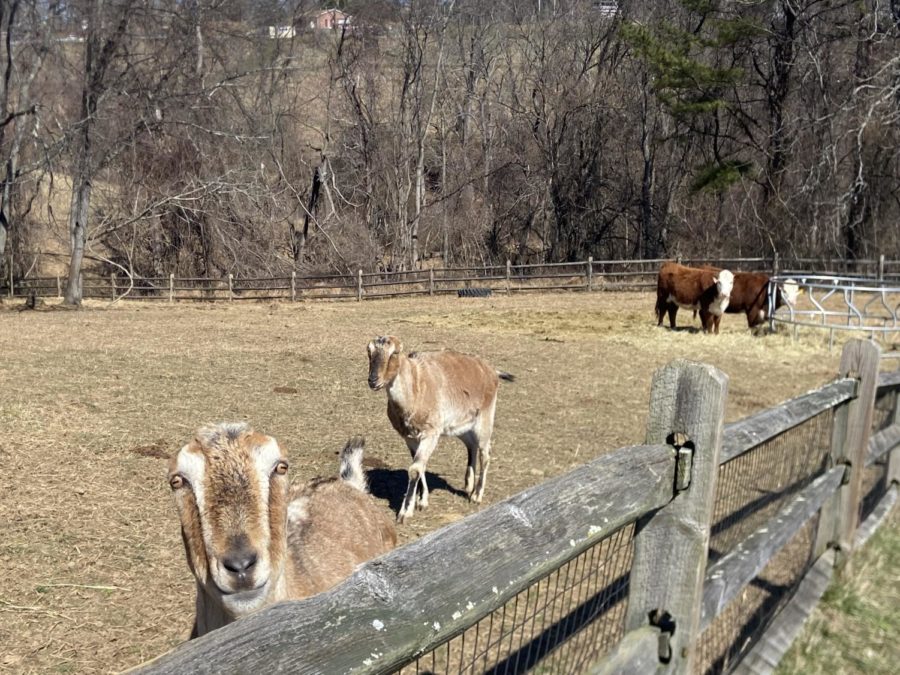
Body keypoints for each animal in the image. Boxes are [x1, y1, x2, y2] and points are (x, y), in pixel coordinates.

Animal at [364, 336, 512, 524]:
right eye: (369, 351)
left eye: (394, 353)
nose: (373, 380)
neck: (416, 388)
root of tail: (492, 371)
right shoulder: (410, 437)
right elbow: (420, 466)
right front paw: (422, 501)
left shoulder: (430, 433)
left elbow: (415, 469)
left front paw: (405, 512)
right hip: (460, 425)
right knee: (471, 445)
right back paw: (468, 485)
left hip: (485, 418)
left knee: (485, 454)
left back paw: (476, 495)